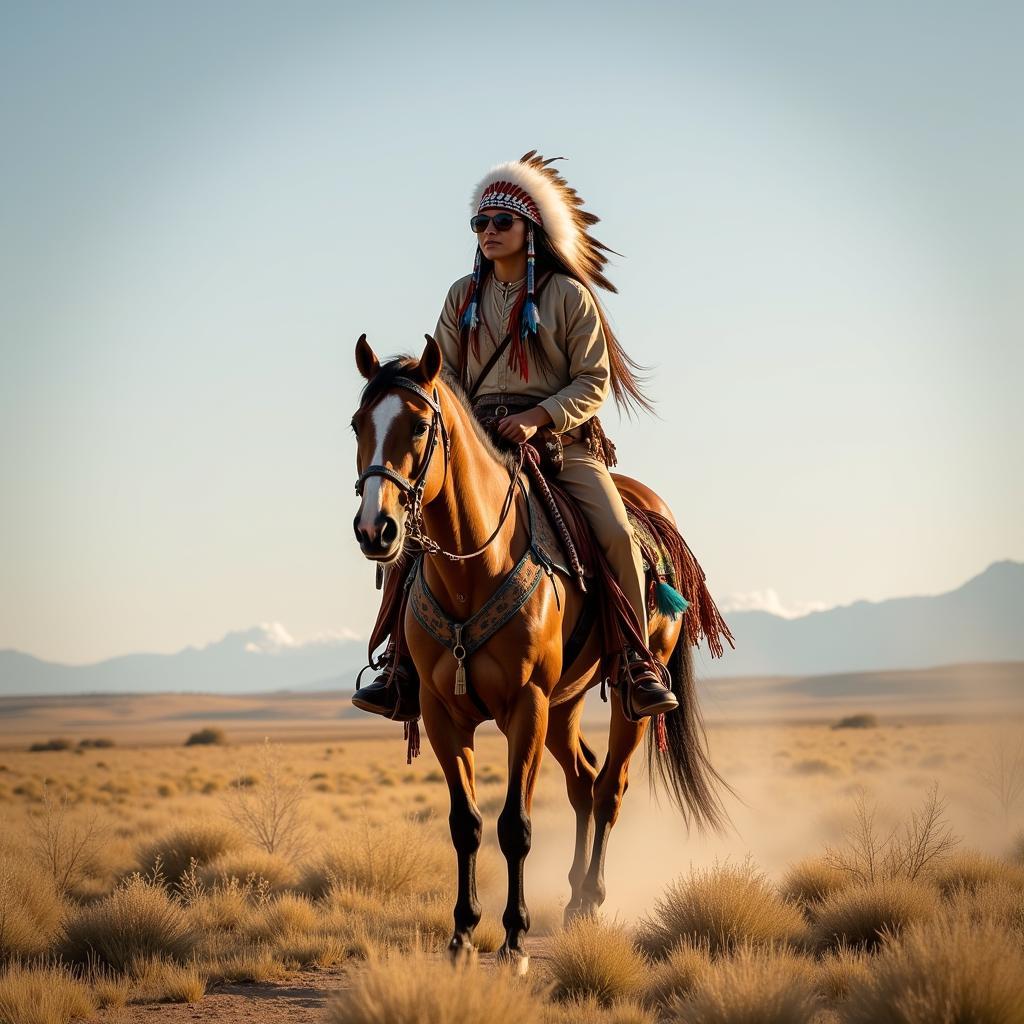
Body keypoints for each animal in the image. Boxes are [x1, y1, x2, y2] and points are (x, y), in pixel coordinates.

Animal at [352, 331, 729, 970]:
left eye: (421, 428)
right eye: (357, 425)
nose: (375, 529)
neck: (473, 569)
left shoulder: (524, 705)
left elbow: (515, 827)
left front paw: (514, 940)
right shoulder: (441, 713)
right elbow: (466, 824)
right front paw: (462, 934)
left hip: (617, 702)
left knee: (609, 788)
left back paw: (592, 897)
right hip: (564, 704)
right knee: (584, 780)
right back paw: (575, 895)